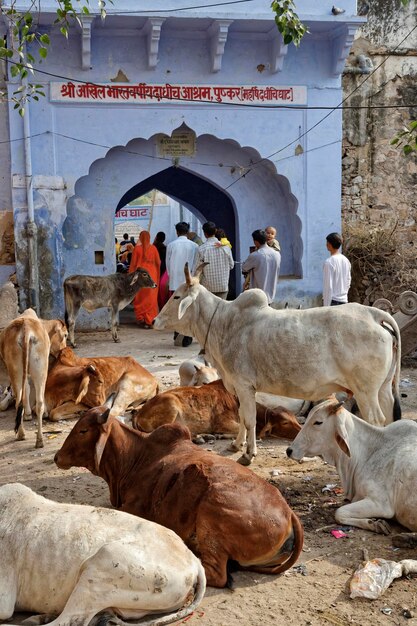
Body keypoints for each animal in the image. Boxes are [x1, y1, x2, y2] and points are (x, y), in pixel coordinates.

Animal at [54, 408, 302, 588]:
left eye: (83, 430)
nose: (57, 457)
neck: (135, 457)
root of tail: (289, 514)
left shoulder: (132, 509)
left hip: (212, 513)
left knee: (215, 575)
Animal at [131, 376, 300, 438]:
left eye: (295, 418)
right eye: (285, 422)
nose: (300, 431)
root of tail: (139, 413)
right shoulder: (223, 423)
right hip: (171, 404)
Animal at [153, 262, 400, 464]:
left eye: (177, 297)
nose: (155, 320)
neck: (224, 323)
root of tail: (374, 315)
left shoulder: (244, 385)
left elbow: (249, 419)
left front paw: (248, 454)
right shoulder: (238, 388)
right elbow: (241, 416)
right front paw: (236, 445)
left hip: (365, 391)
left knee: (376, 420)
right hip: (383, 389)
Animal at [286, 398, 417, 532]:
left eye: (318, 422)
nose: (289, 450)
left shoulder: (381, 504)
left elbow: (339, 513)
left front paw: (375, 524)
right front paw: (374, 523)